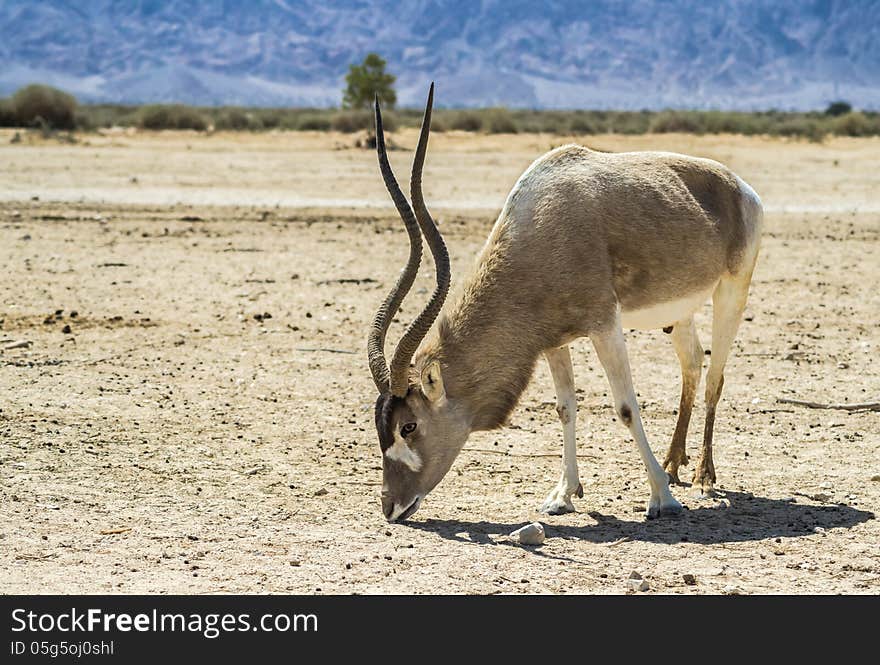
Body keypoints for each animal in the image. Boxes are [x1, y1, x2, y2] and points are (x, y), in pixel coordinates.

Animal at [368, 83, 760, 520]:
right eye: (381, 427)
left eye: (409, 426)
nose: (390, 506)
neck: (540, 227)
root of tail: (740, 187)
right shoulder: (552, 341)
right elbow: (565, 408)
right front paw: (564, 494)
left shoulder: (604, 324)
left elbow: (626, 406)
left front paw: (661, 498)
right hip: (678, 314)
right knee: (692, 363)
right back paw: (675, 464)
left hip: (732, 291)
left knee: (714, 377)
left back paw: (703, 477)